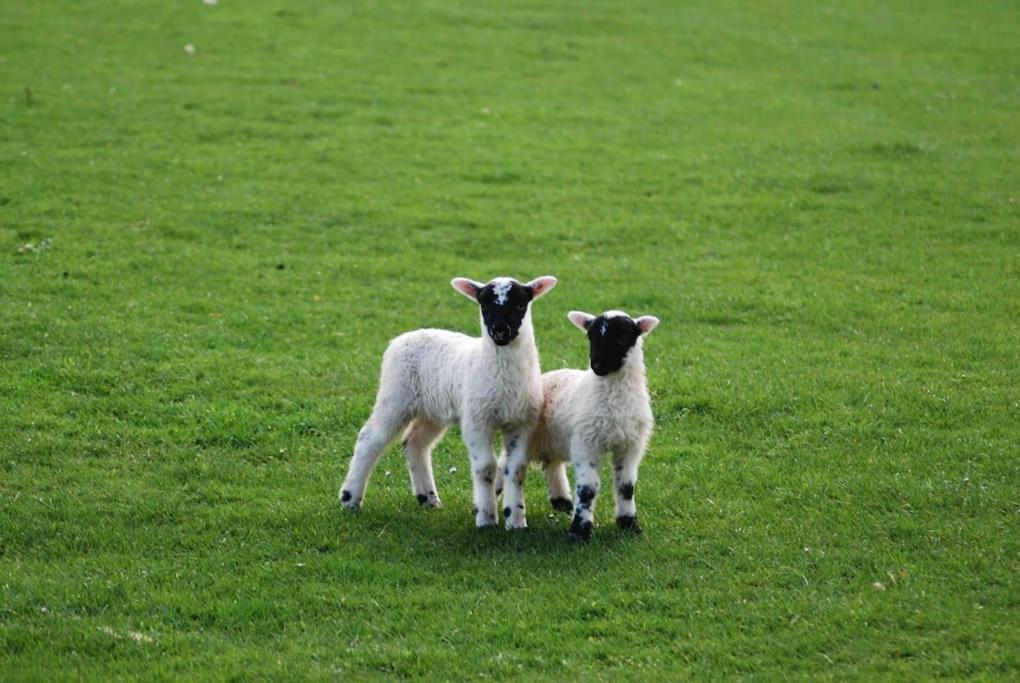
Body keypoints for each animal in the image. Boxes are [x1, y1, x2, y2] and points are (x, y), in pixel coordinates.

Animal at [338, 275, 554, 534]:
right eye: (483, 306)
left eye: (521, 304)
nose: (500, 331)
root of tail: (399, 339)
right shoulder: (476, 420)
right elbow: (486, 468)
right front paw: (486, 519)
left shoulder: (523, 423)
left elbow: (516, 469)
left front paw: (516, 520)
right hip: (395, 395)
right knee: (370, 438)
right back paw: (350, 499)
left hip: (431, 409)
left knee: (415, 442)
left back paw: (427, 498)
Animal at [518, 309, 660, 542]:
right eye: (590, 337)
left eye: (623, 339)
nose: (598, 366)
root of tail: (547, 376)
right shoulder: (586, 443)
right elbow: (587, 490)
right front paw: (579, 531)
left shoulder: (630, 445)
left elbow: (626, 487)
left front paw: (629, 524)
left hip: (557, 439)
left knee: (552, 465)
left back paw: (561, 501)